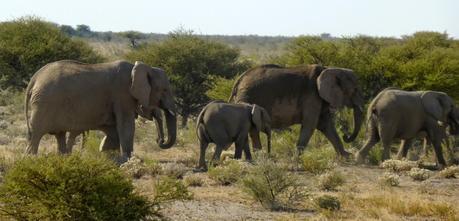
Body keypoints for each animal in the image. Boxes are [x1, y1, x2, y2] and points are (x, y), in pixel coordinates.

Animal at [24, 60, 178, 161]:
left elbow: (114, 130)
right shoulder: (122, 94)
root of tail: (34, 78)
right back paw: (30, 160)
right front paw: (127, 160)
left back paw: (62, 159)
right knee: (37, 134)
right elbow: (126, 125)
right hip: (44, 103)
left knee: (59, 134)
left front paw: (107, 155)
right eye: (164, 90)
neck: (143, 68)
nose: (159, 140)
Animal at [232, 64, 364, 157]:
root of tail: (239, 80)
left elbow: (326, 125)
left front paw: (346, 156)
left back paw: (259, 156)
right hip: (248, 96)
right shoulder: (312, 96)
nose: (346, 135)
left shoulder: (319, 99)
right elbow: (310, 125)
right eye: (355, 90)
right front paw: (296, 158)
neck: (329, 69)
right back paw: (260, 156)